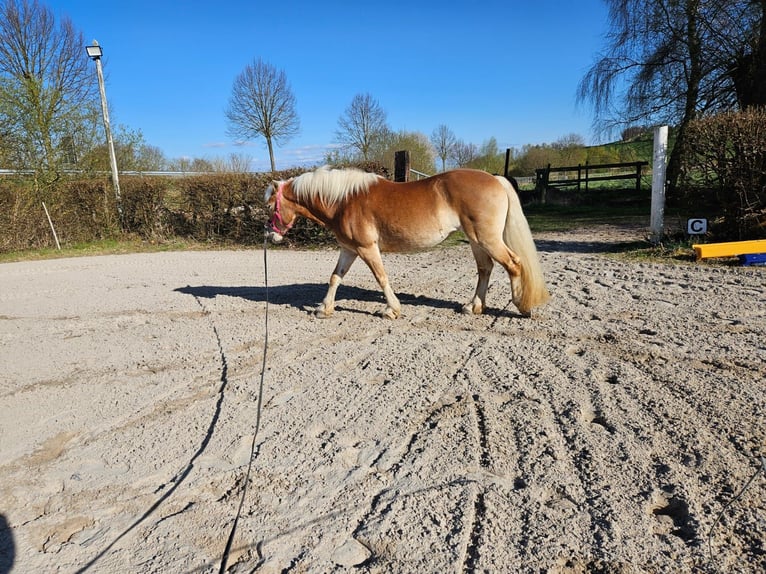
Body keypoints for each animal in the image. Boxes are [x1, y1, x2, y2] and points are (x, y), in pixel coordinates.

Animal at [265, 167, 549, 319]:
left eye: (269, 206)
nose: (271, 236)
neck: (344, 201)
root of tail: (495, 179)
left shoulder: (367, 249)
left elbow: (381, 277)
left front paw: (391, 310)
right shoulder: (349, 250)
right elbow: (335, 277)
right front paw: (325, 308)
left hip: (487, 239)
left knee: (513, 264)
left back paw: (522, 306)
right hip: (476, 240)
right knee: (485, 269)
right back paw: (474, 306)